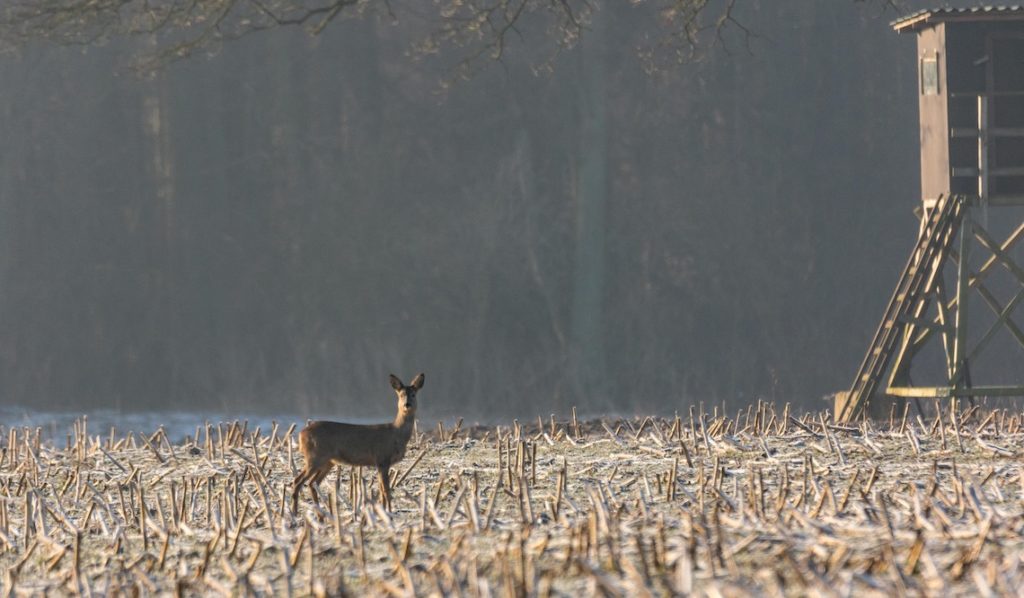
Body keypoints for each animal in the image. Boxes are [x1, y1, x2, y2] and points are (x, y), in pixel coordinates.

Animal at [292, 370, 423, 511]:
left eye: (413, 394)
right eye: (401, 394)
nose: (407, 405)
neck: (396, 434)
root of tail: (301, 434)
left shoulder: (380, 463)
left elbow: (382, 490)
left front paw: (383, 510)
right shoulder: (382, 459)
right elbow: (386, 491)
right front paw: (388, 511)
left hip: (327, 461)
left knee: (312, 483)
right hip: (314, 456)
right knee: (298, 481)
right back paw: (295, 512)